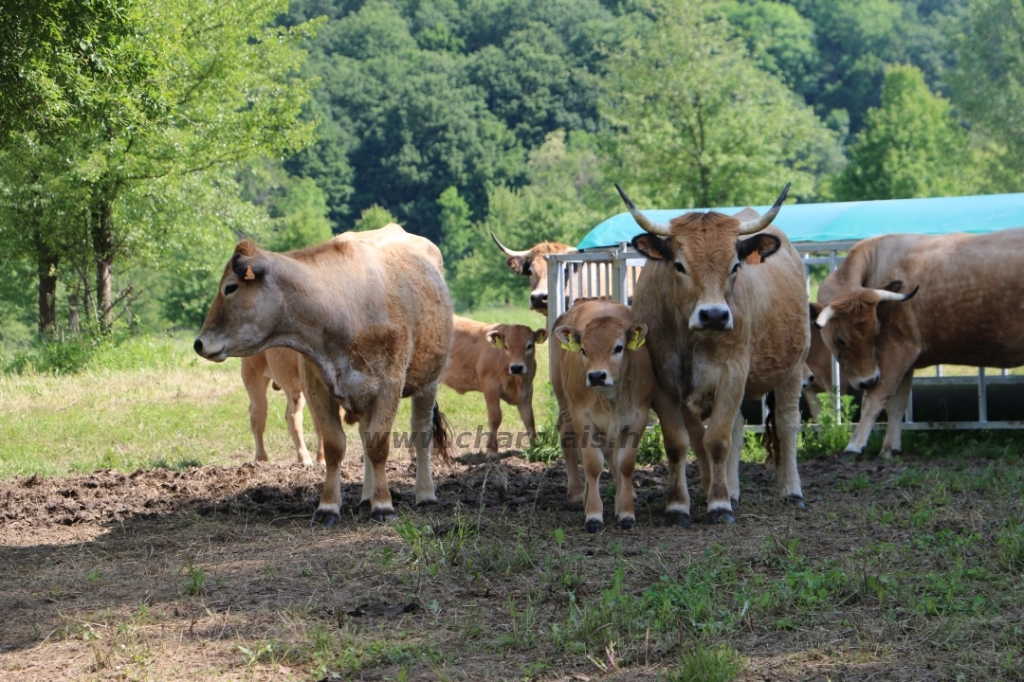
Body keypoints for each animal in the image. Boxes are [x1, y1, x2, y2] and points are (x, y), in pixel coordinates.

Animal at [192, 220, 456, 522]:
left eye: (230, 287)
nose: (199, 343)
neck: (343, 307)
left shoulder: (389, 385)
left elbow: (378, 445)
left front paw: (383, 504)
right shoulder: (317, 386)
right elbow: (335, 446)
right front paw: (329, 506)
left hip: (429, 381)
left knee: (421, 430)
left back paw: (424, 494)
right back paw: (365, 497)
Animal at [442, 315, 548, 454]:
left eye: (529, 345)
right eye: (506, 346)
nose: (517, 367)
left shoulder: (527, 389)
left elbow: (529, 418)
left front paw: (535, 447)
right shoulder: (490, 387)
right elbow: (495, 417)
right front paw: (492, 450)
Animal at [552, 299, 655, 532]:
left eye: (618, 347)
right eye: (583, 349)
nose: (597, 375)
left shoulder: (638, 417)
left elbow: (625, 463)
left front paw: (625, 511)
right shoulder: (582, 416)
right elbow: (592, 464)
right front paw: (593, 515)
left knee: (610, 453)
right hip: (564, 403)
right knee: (568, 439)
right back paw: (578, 492)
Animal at [618, 183, 811, 522]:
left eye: (735, 266)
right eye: (679, 265)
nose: (715, 316)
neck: (688, 338)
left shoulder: (733, 373)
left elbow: (717, 440)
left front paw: (719, 505)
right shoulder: (663, 385)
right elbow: (681, 443)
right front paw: (679, 506)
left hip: (794, 367)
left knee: (787, 423)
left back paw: (791, 491)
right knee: (736, 428)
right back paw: (732, 489)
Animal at [815, 228, 1024, 456]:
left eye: (877, 329)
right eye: (840, 339)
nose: (868, 380)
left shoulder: (896, 347)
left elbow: (875, 398)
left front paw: (854, 446)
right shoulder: (906, 357)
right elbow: (897, 403)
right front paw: (890, 449)